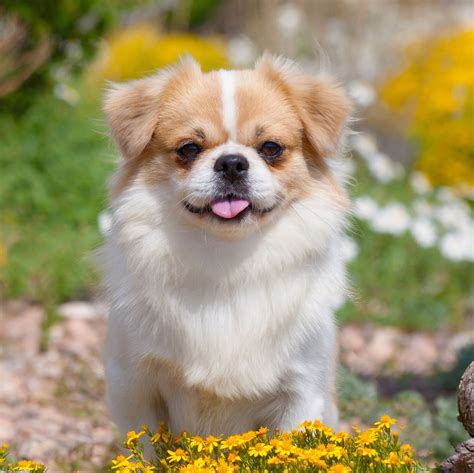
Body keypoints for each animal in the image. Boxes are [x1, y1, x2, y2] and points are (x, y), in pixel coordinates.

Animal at [101, 54, 352, 436]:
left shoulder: (302, 391)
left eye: (271, 148)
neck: (227, 261)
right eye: (189, 149)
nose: (232, 162)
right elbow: (144, 446)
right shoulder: (134, 387)